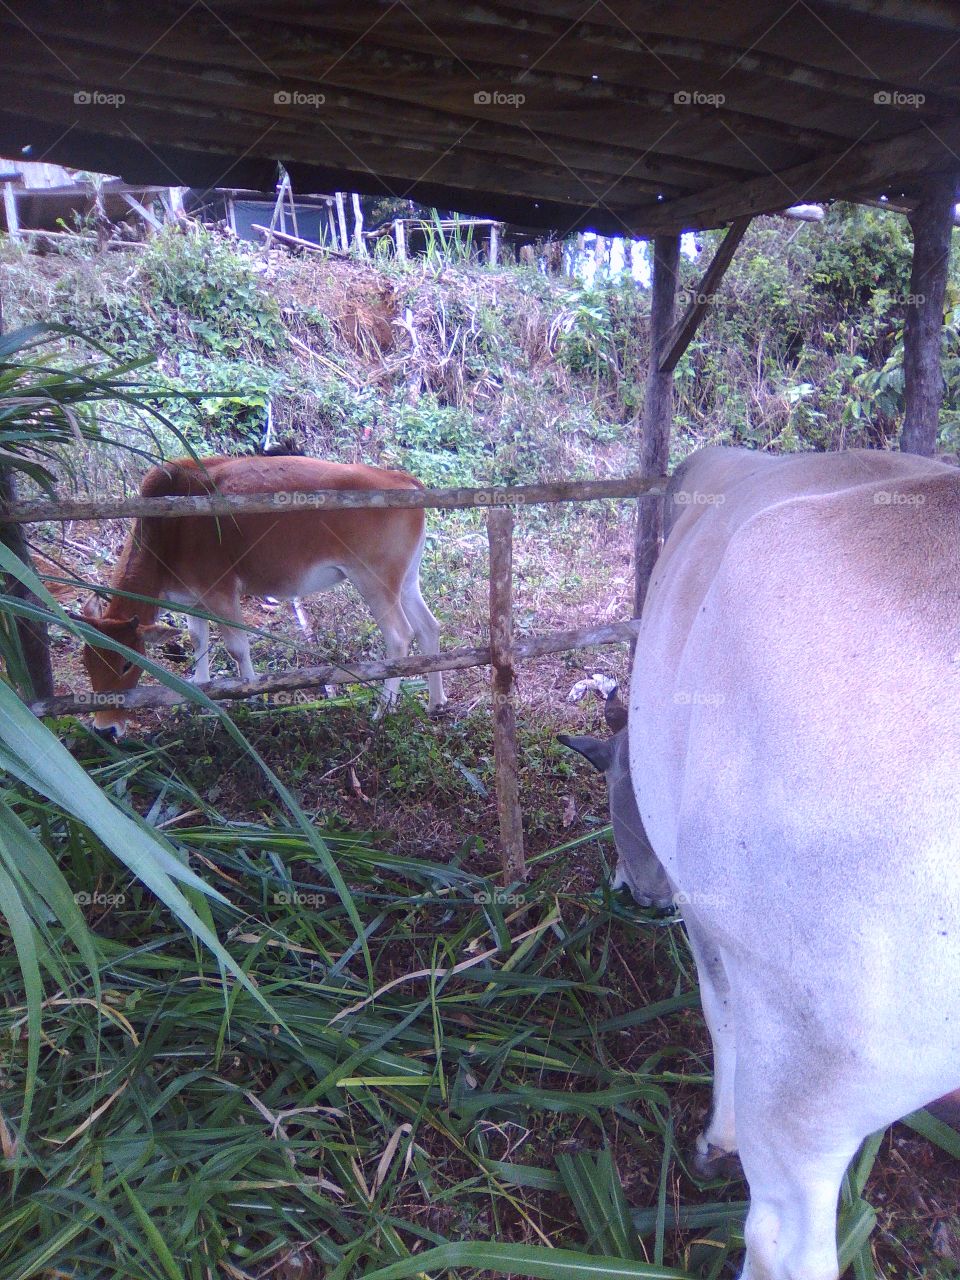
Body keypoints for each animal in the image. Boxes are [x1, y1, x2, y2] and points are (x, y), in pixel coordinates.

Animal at [78, 455, 447, 735]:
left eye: (127, 663)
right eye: (87, 661)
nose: (104, 730)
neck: (167, 532)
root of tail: (401, 478)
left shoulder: (221, 590)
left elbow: (237, 647)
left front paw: (252, 695)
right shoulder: (190, 599)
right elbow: (198, 641)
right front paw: (201, 692)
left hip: (374, 579)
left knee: (399, 636)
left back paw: (383, 710)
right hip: (406, 580)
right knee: (428, 628)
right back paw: (435, 703)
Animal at [564, 445, 960, 1280]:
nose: (635, 890)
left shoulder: (711, 918)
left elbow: (719, 1015)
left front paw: (718, 1137)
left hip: (808, 1076)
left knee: (781, 1238)